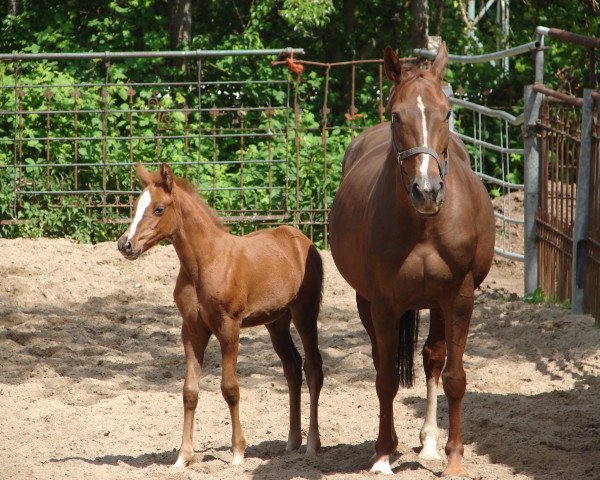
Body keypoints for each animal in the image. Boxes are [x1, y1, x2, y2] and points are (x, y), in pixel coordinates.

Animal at [117, 163, 324, 466]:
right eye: (135, 206)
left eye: (158, 208)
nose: (126, 245)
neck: (205, 263)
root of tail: (301, 239)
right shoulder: (192, 330)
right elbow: (189, 391)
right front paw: (182, 457)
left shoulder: (229, 327)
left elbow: (230, 388)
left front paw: (237, 452)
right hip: (277, 322)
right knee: (292, 368)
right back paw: (292, 442)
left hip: (305, 314)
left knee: (312, 368)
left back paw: (312, 445)